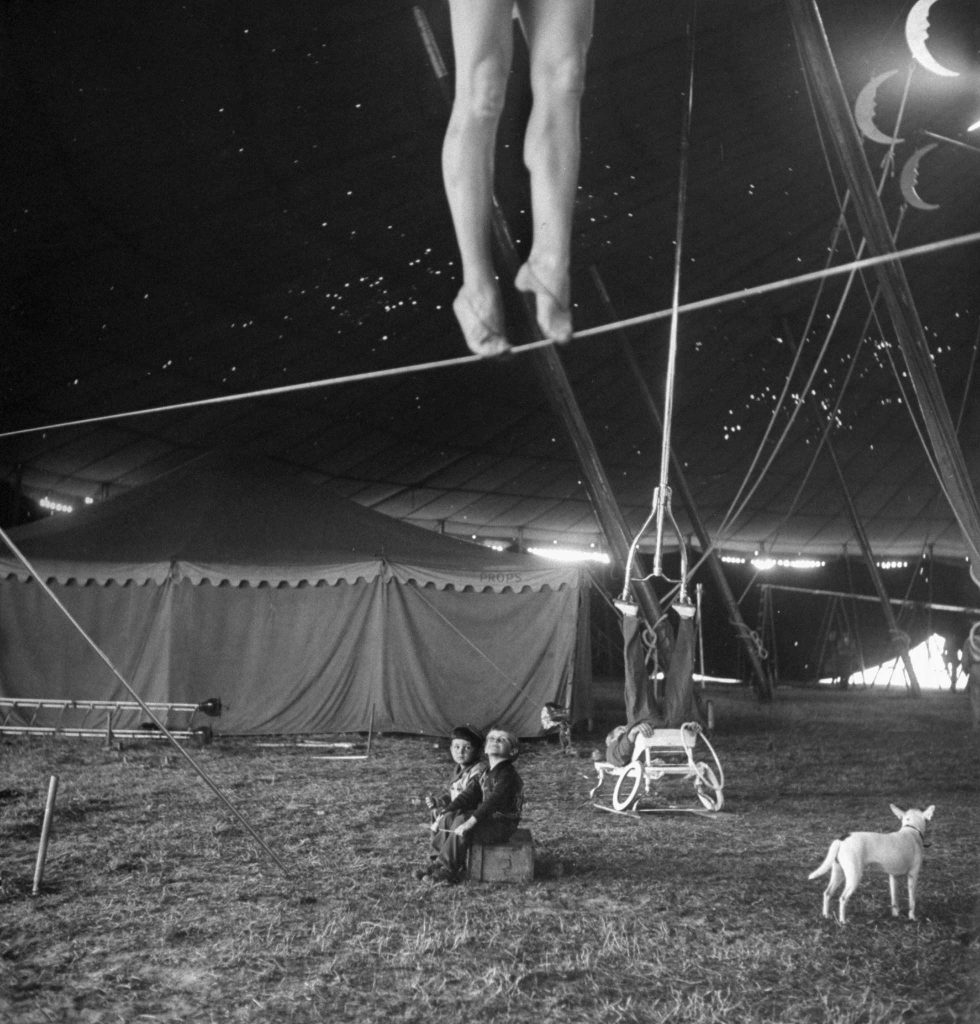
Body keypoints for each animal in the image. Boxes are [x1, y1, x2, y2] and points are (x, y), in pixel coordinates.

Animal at [806, 802, 938, 925]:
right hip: (854, 877)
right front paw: (912, 917)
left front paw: (895, 915)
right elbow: (912, 901)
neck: (911, 829)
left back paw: (826, 915)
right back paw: (843, 921)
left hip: (838, 873)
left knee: (827, 893)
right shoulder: (913, 875)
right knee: (842, 898)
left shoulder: (893, 877)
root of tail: (842, 839)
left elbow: (894, 899)